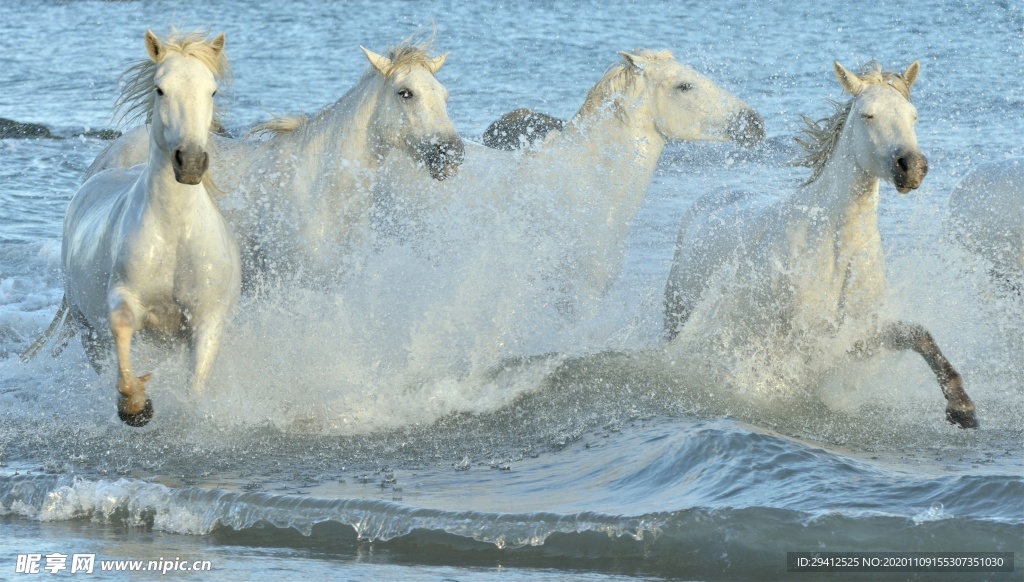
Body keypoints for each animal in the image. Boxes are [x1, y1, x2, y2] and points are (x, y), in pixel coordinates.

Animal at [22, 28, 239, 428]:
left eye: (212, 91)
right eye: (160, 89)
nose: (190, 162)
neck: (175, 232)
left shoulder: (206, 318)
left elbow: (196, 382)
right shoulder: (125, 299)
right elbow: (122, 326)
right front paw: (135, 406)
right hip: (86, 327)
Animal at [659, 61, 978, 430]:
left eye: (913, 116)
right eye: (867, 115)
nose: (912, 167)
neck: (837, 249)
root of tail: (711, 198)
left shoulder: (855, 335)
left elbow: (916, 334)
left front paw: (962, 408)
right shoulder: (804, 341)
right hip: (679, 318)